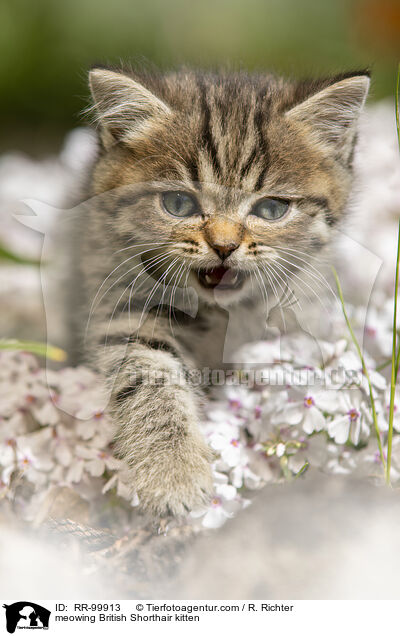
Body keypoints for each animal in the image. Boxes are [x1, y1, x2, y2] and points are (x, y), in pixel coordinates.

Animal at [75, 66, 368, 516]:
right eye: (179, 204)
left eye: (271, 209)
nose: (225, 246)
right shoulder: (124, 298)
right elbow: (147, 374)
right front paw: (173, 471)